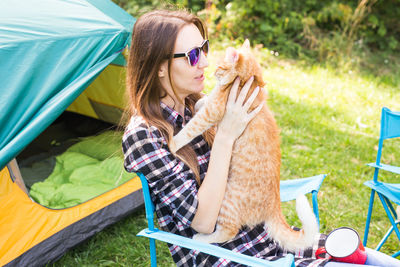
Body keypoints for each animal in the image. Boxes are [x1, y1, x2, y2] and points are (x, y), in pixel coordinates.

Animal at [167, 39, 318, 251]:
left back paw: (201, 239)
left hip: (227, 200)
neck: (250, 82)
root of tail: (275, 206)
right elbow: (202, 101)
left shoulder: (211, 113)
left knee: (228, 232)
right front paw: (199, 101)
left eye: (220, 65)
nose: (212, 72)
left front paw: (173, 142)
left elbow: (190, 128)